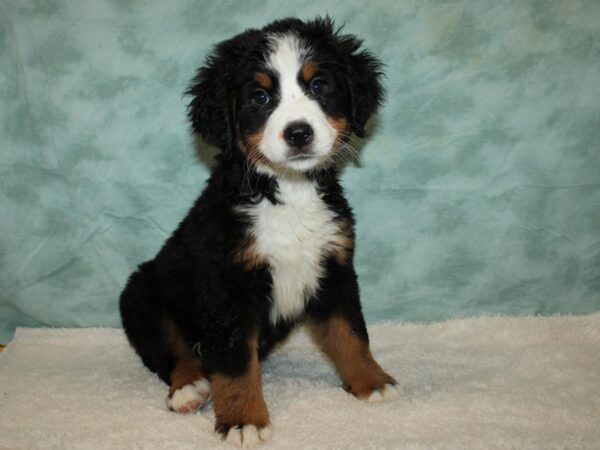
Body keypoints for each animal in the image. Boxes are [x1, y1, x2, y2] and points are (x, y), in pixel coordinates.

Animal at [119, 16, 400, 446]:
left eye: (319, 86)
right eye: (260, 97)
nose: (298, 133)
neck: (288, 193)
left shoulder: (334, 268)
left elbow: (350, 333)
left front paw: (372, 381)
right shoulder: (227, 286)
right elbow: (235, 363)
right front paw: (243, 421)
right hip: (142, 292)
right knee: (170, 352)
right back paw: (188, 388)